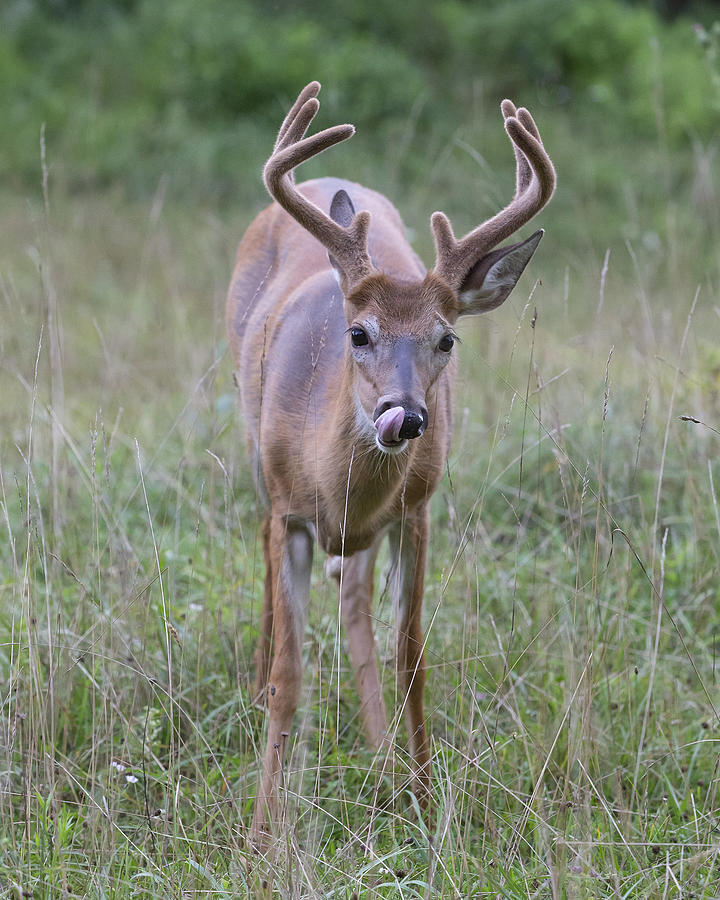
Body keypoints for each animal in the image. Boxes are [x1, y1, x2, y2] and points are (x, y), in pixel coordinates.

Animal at [226, 79, 556, 844]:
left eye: (447, 340)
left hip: (368, 532)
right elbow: (292, 671)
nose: (404, 415)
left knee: (354, 607)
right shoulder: (291, 510)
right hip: (254, 454)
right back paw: (257, 694)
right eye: (358, 333)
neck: (330, 478)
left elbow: (410, 657)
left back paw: (380, 761)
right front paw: (260, 834)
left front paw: (425, 803)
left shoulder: (415, 510)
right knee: (265, 571)